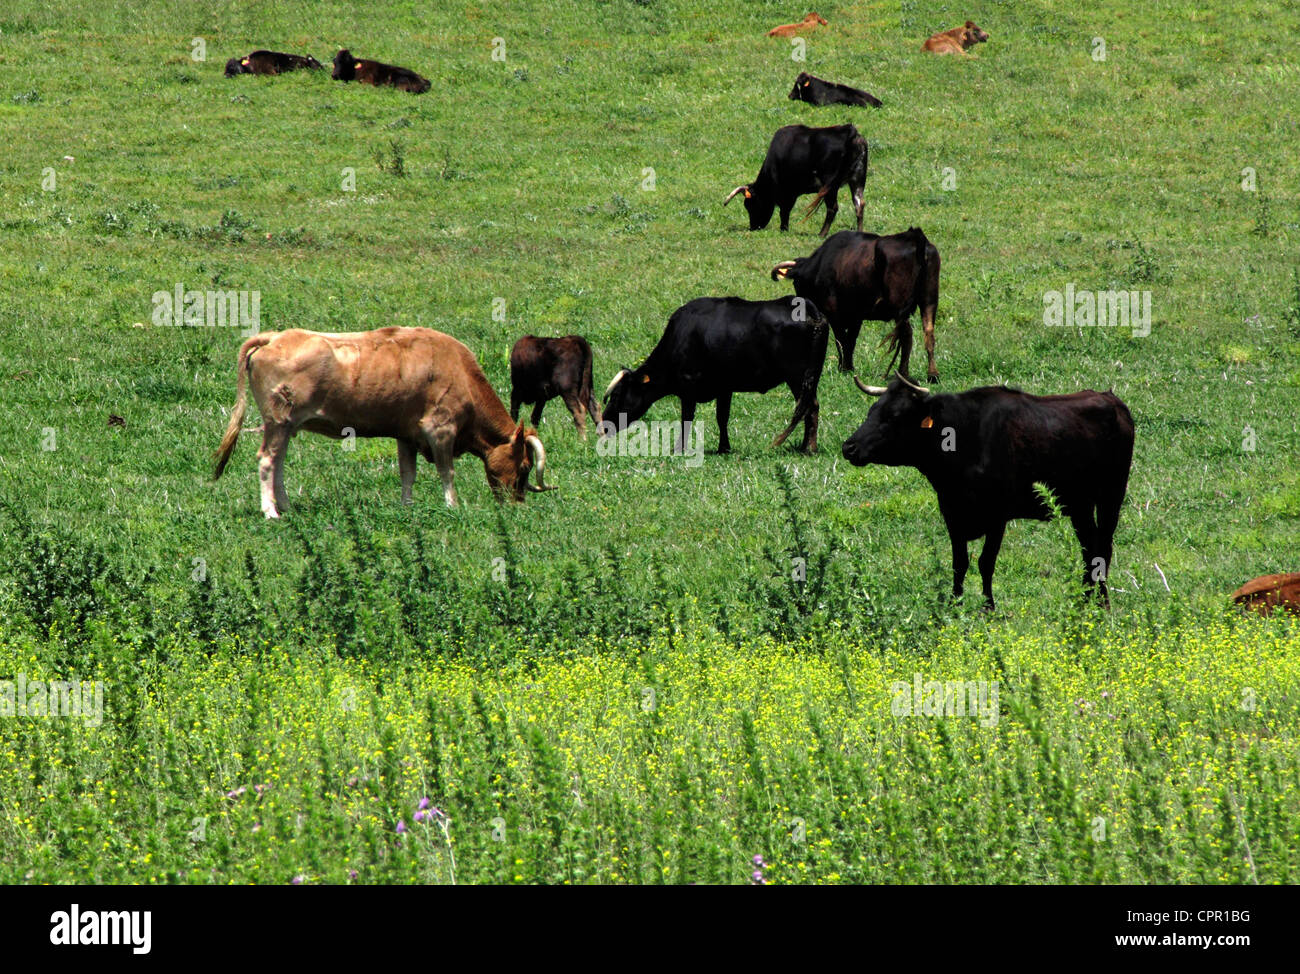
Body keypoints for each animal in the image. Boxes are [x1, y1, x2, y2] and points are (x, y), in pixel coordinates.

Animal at [211, 325, 553, 517]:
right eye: (524, 466)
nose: (517, 504)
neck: (459, 372)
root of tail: (274, 338)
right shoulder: (440, 429)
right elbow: (447, 472)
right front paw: (452, 506)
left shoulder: (407, 435)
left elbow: (408, 474)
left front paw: (408, 507)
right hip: (278, 422)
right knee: (267, 460)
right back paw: (270, 511)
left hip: (286, 426)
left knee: (278, 462)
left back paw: (287, 506)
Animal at [600, 293, 826, 455]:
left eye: (618, 395)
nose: (603, 423)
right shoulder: (724, 388)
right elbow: (722, 417)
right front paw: (723, 448)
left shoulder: (688, 387)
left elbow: (687, 418)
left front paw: (679, 448)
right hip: (810, 378)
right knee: (810, 407)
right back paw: (806, 446)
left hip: (797, 377)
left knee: (809, 407)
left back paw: (808, 448)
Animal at [728, 123, 868, 237]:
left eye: (750, 204)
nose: (753, 227)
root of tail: (850, 131)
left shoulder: (788, 192)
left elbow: (784, 210)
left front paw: (784, 229)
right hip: (857, 179)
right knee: (859, 205)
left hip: (830, 184)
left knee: (832, 208)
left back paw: (822, 234)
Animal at [764, 227, 941, 379]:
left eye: (796, 282)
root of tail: (915, 237)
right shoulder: (857, 316)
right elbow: (851, 341)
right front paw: (848, 367)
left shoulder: (834, 313)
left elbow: (841, 340)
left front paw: (844, 368)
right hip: (929, 301)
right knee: (928, 332)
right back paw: (932, 374)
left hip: (900, 307)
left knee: (907, 335)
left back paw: (903, 372)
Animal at [842, 374, 1128, 608]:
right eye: (872, 411)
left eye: (894, 416)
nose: (848, 447)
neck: (965, 437)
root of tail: (1111, 399)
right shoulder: (951, 512)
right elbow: (959, 563)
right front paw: (954, 604)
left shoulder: (997, 516)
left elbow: (985, 562)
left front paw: (988, 607)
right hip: (1081, 505)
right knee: (1089, 548)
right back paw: (1084, 600)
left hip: (1111, 497)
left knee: (1103, 548)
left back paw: (1102, 603)